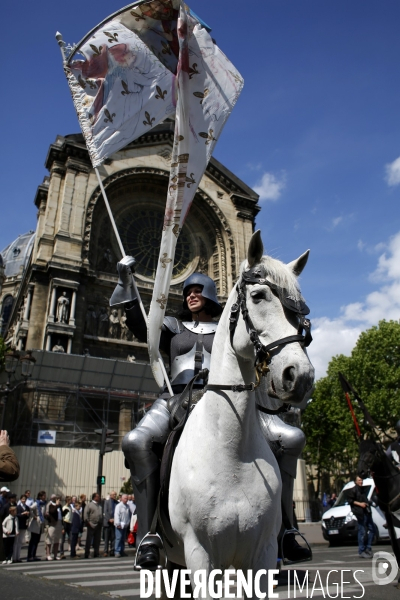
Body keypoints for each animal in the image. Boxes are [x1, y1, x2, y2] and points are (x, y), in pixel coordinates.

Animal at [166, 230, 316, 596]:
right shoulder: (200, 556)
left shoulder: (261, 556)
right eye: (259, 296)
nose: (300, 376)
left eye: (301, 307)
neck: (230, 450)